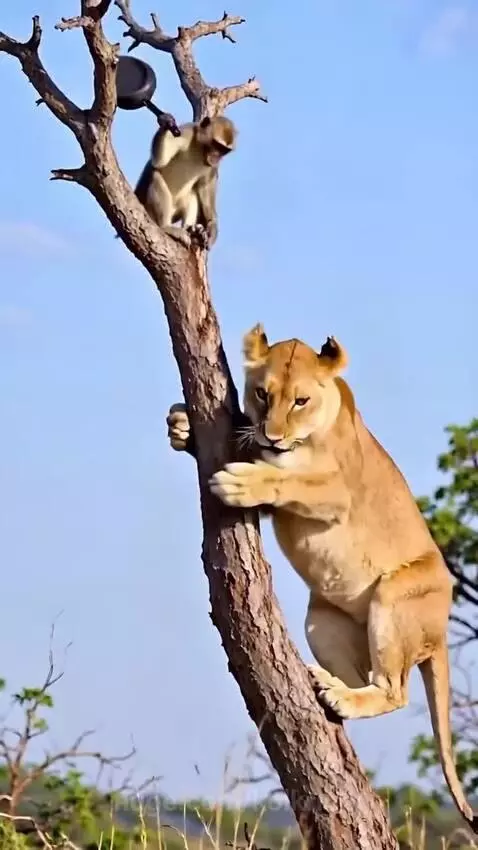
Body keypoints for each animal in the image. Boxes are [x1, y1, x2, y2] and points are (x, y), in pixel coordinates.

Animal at [166, 323, 477, 833]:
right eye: (262, 393)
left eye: (300, 401)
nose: (273, 436)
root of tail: (439, 631)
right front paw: (182, 426)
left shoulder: (337, 492)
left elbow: (286, 479)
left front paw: (242, 480)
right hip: (322, 618)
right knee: (365, 674)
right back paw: (325, 683)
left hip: (395, 593)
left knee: (395, 690)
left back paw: (344, 697)